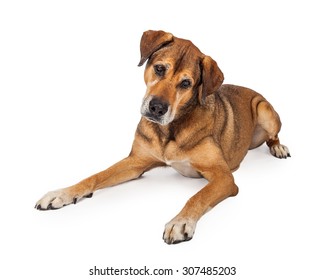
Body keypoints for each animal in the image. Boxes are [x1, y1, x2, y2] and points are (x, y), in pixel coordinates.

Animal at [34, 30, 288, 244]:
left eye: (186, 83)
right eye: (159, 69)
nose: (156, 108)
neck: (171, 129)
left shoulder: (223, 176)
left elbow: (198, 196)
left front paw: (181, 222)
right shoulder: (136, 162)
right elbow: (96, 176)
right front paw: (62, 193)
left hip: (265, 110)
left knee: (273, 136)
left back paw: (279, 148)